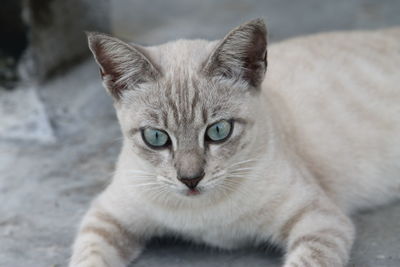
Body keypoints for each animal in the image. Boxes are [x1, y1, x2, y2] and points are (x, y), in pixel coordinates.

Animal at [69, 19, 400, 267]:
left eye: (218, 131)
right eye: (156, 137)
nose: (190, 179)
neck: (203, 214)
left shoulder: (320, 220)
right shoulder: (107, 216)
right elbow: (88, 259)